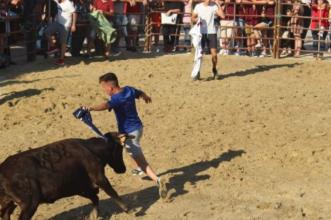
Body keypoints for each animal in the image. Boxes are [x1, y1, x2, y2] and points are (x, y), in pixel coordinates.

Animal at [0, 133, 131, 219]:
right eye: (120, 149)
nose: (123, 169)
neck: (90, 149)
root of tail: (2, 171)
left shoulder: (81, 187)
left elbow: (95, 197)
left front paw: (94, 215)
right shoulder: (98, 177)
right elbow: (111, 192)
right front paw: (127, 209)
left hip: (8, 203)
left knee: (5, 214)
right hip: (29, 204)